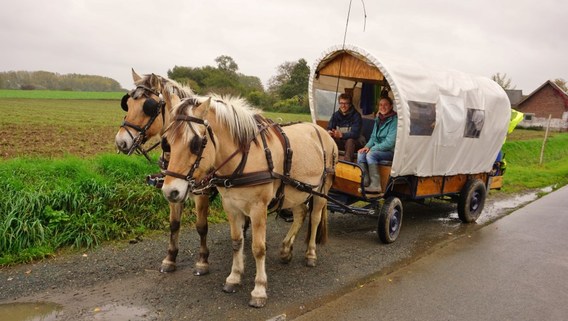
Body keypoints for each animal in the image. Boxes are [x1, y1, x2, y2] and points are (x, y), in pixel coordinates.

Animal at [114, 70, 214, 276]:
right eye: (128, 104)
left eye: (148, 107)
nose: (120, 142)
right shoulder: (172, 188)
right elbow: (174, 224)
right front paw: (170, 258)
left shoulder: (202, 190)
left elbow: (201, 226)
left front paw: (202, 260)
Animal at [160, 94, 338, 306]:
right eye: (167, 142)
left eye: (195, 143)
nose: (170, 191)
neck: (244, 158)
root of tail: (322, 131)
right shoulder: (231, 206)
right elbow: (237, 242)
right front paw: (234, 277)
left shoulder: (258, 208)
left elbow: (258, 248)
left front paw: (259, 289)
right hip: (296, 190)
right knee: (301, 213)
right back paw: (286, 249)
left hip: (321, 190)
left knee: (315, 218)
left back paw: (310, 254)